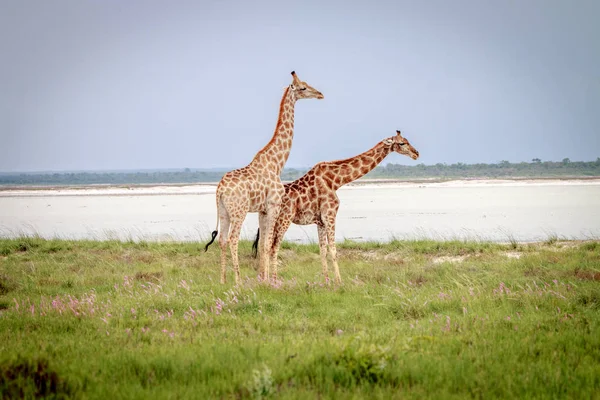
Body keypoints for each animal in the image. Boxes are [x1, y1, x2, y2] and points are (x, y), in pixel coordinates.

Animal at [204, 72, 324, 284]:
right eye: (303, 87)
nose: (320, 94)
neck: (277, 163)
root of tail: (220, 190)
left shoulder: (263, 209)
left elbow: (262, 245)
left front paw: (263, 278)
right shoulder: (274, 205)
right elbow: (268, 244)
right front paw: (269, 281)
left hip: (224, 211)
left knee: (222, 240)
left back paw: (223, 280)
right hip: (239, 211)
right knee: (233, 239)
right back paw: (237, 281)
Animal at [252, 130, 418, 282]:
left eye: (406, 141)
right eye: (402, 143)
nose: (416, 153)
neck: (336, 181)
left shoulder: (320, 221)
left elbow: (322, 250)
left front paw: (326, 282)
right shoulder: (330, 214)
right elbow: (333, 250)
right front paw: (339, 282)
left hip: (265, 219)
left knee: (262, 246)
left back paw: (263, 280)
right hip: (283, 219)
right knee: (273, 247)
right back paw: (274, 281)